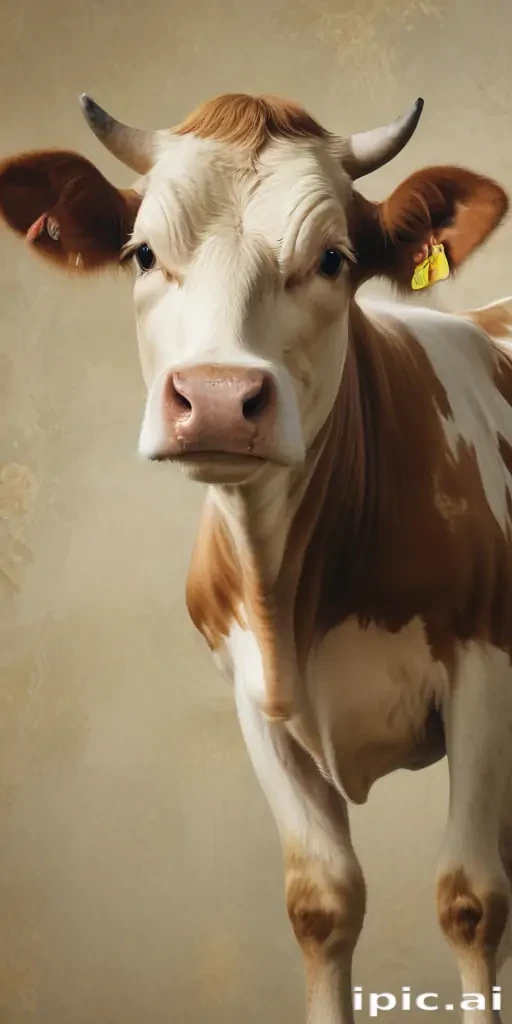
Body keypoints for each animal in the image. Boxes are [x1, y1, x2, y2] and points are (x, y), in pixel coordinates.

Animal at [1, 91, 512, 1024]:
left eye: (335, 258)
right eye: (142, 254)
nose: (214, 398)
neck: (295, 594)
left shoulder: (485, 670)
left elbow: (469, 899)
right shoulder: (252, 699)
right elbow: (322, 901)